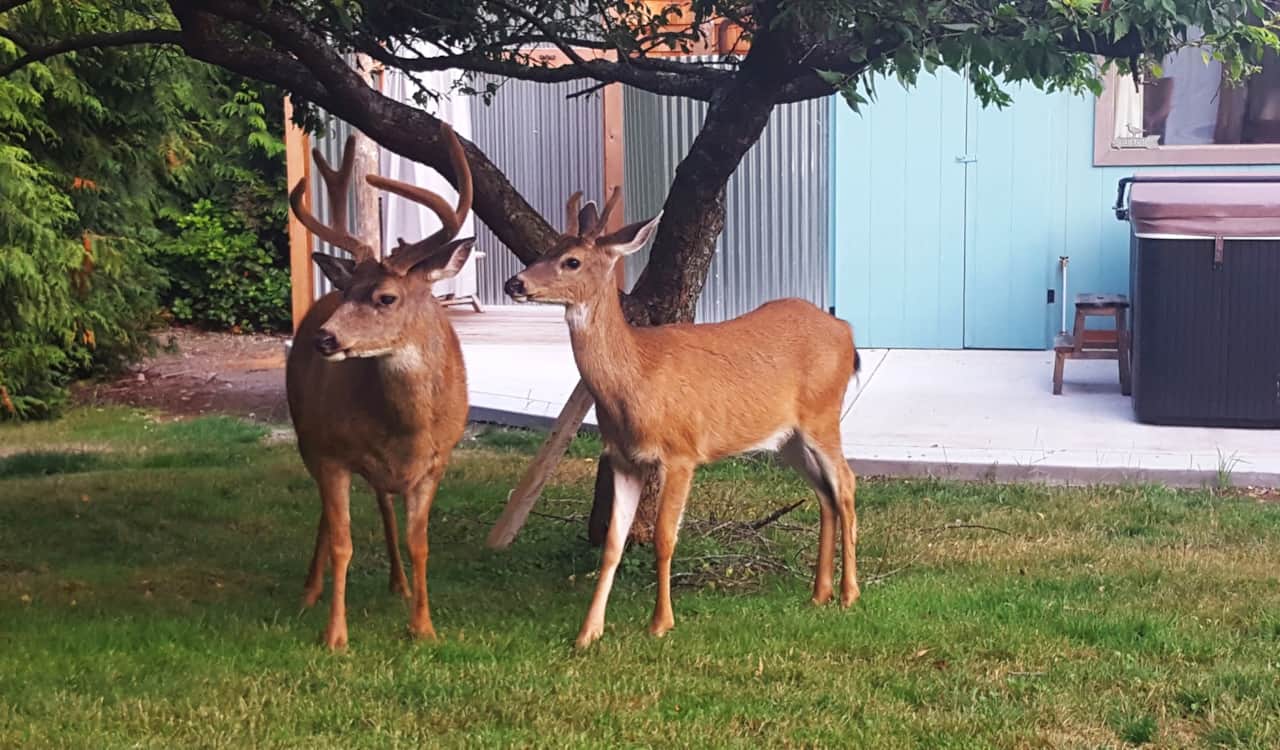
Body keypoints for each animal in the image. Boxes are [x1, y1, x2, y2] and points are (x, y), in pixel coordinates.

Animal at [286, 124, 473, 650]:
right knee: (327, 516)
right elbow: (342, 541)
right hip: (307, 434)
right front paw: (335, 636)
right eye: (346, 293)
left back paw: (399, 584)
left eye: (386, 297)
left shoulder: (437, 461)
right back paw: (309, 591)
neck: (409, 427)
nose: (324, 338)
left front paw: (424, 626)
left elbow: (420, 542)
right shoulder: (331, 452)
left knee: (384, 502)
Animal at [503, 188, 862, 649]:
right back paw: (819, 594)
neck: (637, 378)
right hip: (788, 438)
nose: (515, 283)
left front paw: (660, 623)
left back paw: (850, 594)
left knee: (846, 483)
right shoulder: (623, 458)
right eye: (545, 250)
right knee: (825, 493)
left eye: (572, 261)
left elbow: (663, 537)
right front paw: (588, 632)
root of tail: (845, 330)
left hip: (823, 413)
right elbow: (613, 543)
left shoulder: (681, 452)